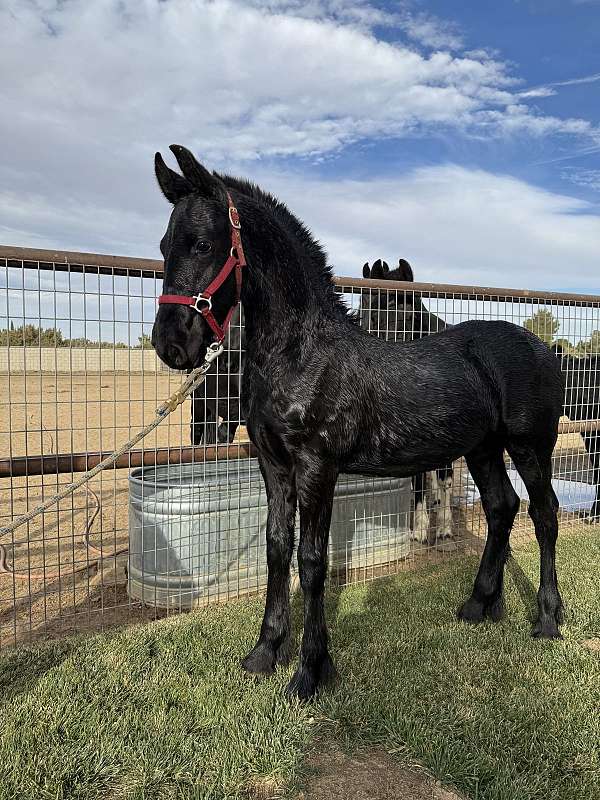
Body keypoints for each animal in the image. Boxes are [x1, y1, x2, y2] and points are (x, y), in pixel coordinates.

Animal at [358, 256, 452, 544]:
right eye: (369, 311)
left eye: (407, 313)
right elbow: (418, 480)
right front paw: (420, 528)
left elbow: (444, 479)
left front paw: (443, 527)